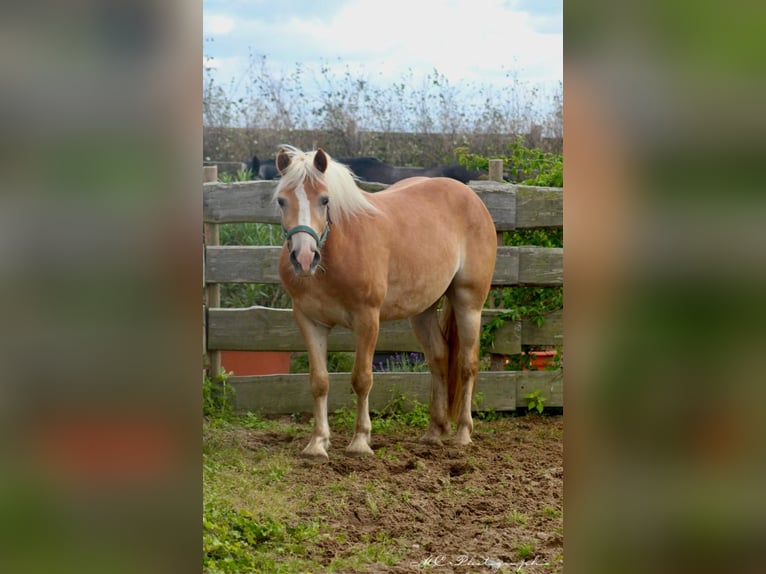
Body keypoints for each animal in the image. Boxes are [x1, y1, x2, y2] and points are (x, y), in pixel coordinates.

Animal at [274, 146, 498, 462]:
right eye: (282, 200)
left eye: (325, 199)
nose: (304, 258)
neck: (339, 251)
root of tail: (469, 196)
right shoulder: (310, 321)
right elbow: (319, 381)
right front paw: (317, 443)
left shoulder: (367, 319)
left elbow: (362, 379)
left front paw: (360, 441)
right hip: (422, 310)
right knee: (439, 358)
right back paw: (434, 431)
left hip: (469, 302)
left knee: (467, 363)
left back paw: (463, 434)